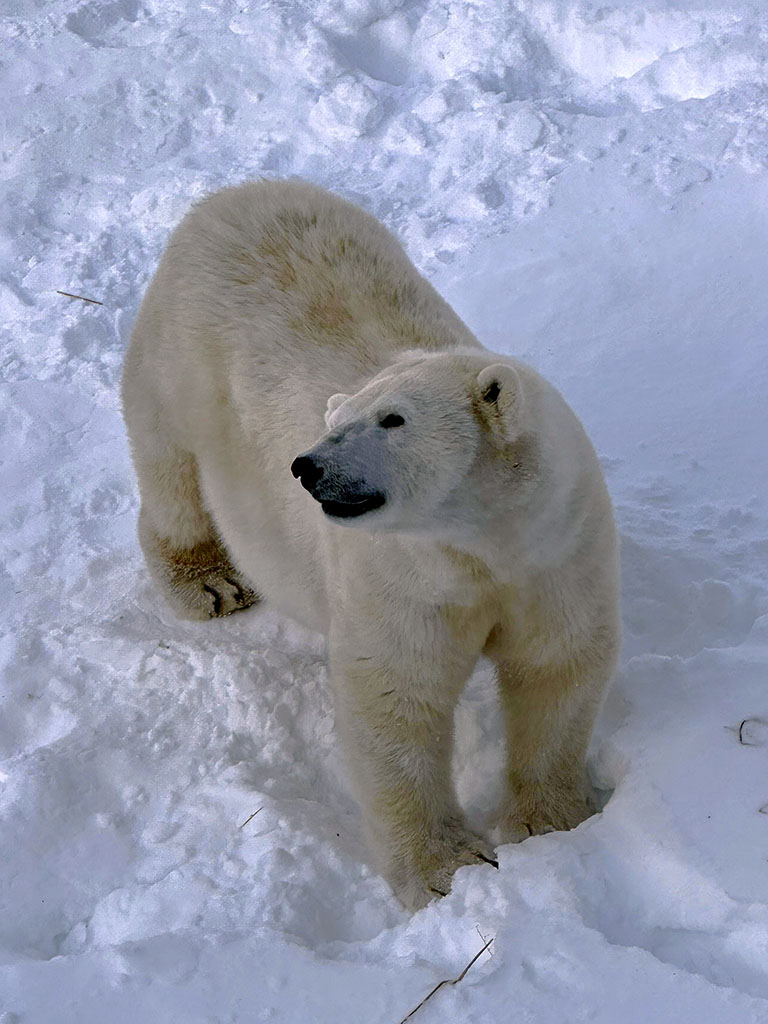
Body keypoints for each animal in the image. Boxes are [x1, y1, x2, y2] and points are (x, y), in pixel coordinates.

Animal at [123, 180, 622, 909]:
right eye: (337, 417)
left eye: (392, 418)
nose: (307, 466)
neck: (481, 545)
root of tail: (227, 196)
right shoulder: (404, 577)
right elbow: (395, 697)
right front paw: (449, 869)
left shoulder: (556, 548)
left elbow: (557, 664)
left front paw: (553, 819)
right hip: (176, 365)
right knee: (172, 478)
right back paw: (209, 582)